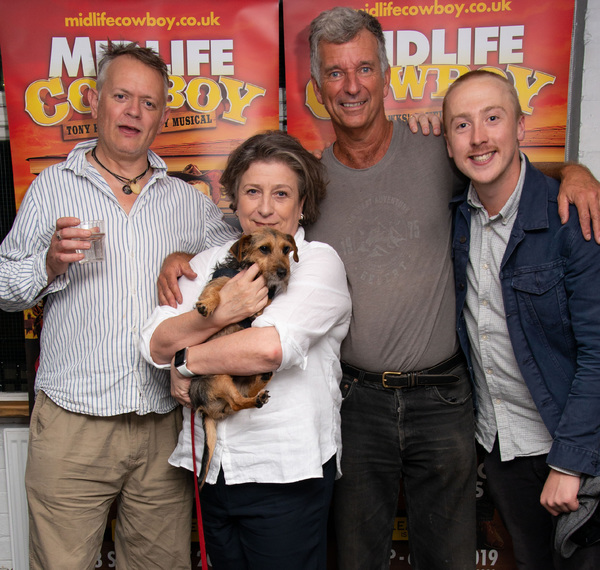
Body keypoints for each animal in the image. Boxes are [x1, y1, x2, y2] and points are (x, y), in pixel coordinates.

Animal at [190, 226, 298, 484]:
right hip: (219, 377)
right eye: (264, 248)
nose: (283, 272)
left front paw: (260, 307)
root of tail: (201, 407)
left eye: (286, 250)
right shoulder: (223, 282)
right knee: (238, 402)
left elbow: (266, 300)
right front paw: (207, 304)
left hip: (235, 383)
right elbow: (215, 291)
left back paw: (262, 383)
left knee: (241, 399)